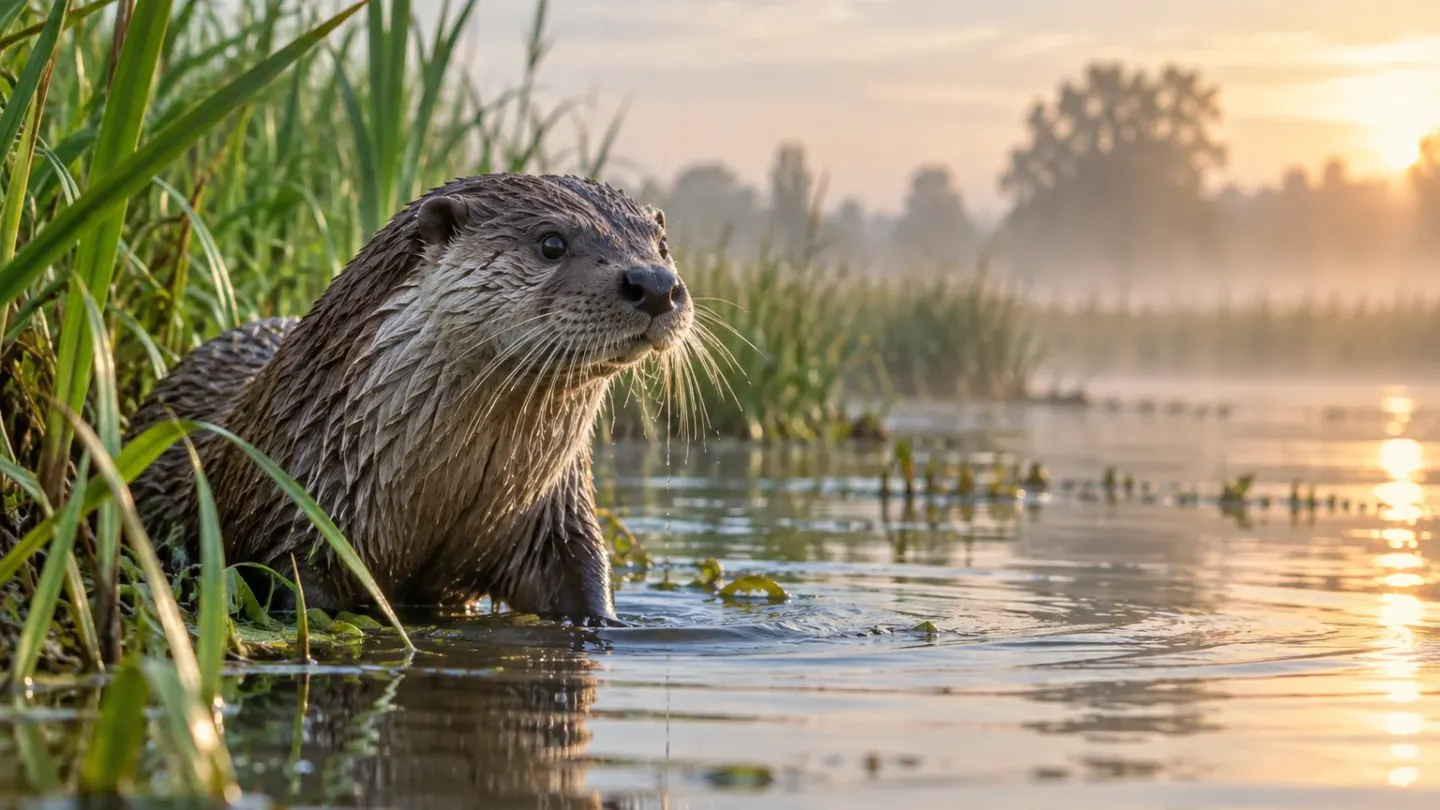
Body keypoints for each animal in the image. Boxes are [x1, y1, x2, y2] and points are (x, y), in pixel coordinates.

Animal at [125, 174, 693, 626]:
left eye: (662, 244)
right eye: (552, 243)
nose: (656, 283)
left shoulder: (556, 520)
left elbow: (583, 582)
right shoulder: (292, 529)